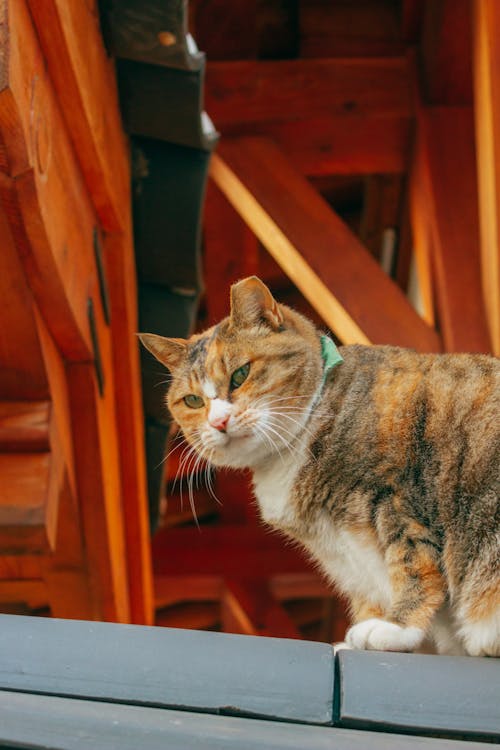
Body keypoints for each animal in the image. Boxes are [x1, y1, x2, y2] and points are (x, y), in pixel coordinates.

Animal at [140, 276, 500, 656]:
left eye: (240, 374)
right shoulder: (348, 557)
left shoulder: (399, 499)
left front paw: (396, 627)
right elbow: (369, 594)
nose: (218, 422)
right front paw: (355, 639)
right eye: (193, 400)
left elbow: (414, 567)